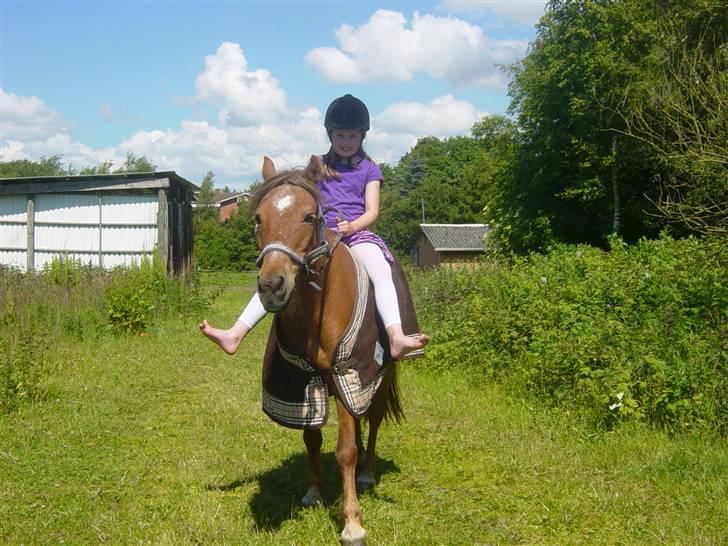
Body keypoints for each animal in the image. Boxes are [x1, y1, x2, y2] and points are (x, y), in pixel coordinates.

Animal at [250, 155, 412, 540]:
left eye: (310, 216)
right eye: (258, 218)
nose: (271, 286)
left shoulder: (349, 373)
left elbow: (346, 451)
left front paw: (352, 523)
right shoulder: (304, 381)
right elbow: (312, 440)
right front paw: (314, 493)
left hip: (381, 376)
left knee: (375, 420)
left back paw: (367, 473)